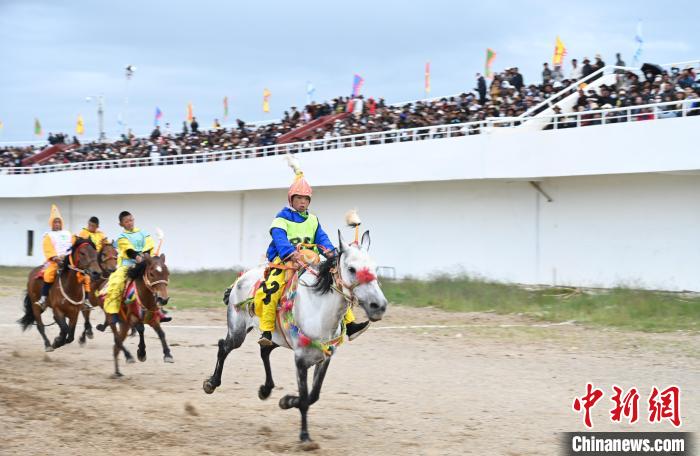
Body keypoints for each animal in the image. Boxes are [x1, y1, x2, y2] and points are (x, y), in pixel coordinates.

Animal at [202, 230, 388, 442]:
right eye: (351, 269)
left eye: (374, 267)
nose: (379, 306)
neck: (319, 311)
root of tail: (242, 278)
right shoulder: (300, 359)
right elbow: (306, 398)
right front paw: (305, 436)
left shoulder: (325, 358)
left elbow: (313, 396)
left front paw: (287, 401)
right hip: (238, 331)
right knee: (224, 346)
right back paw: (211, 383)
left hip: (276, 337)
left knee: (264, 350)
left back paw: (265, 389)